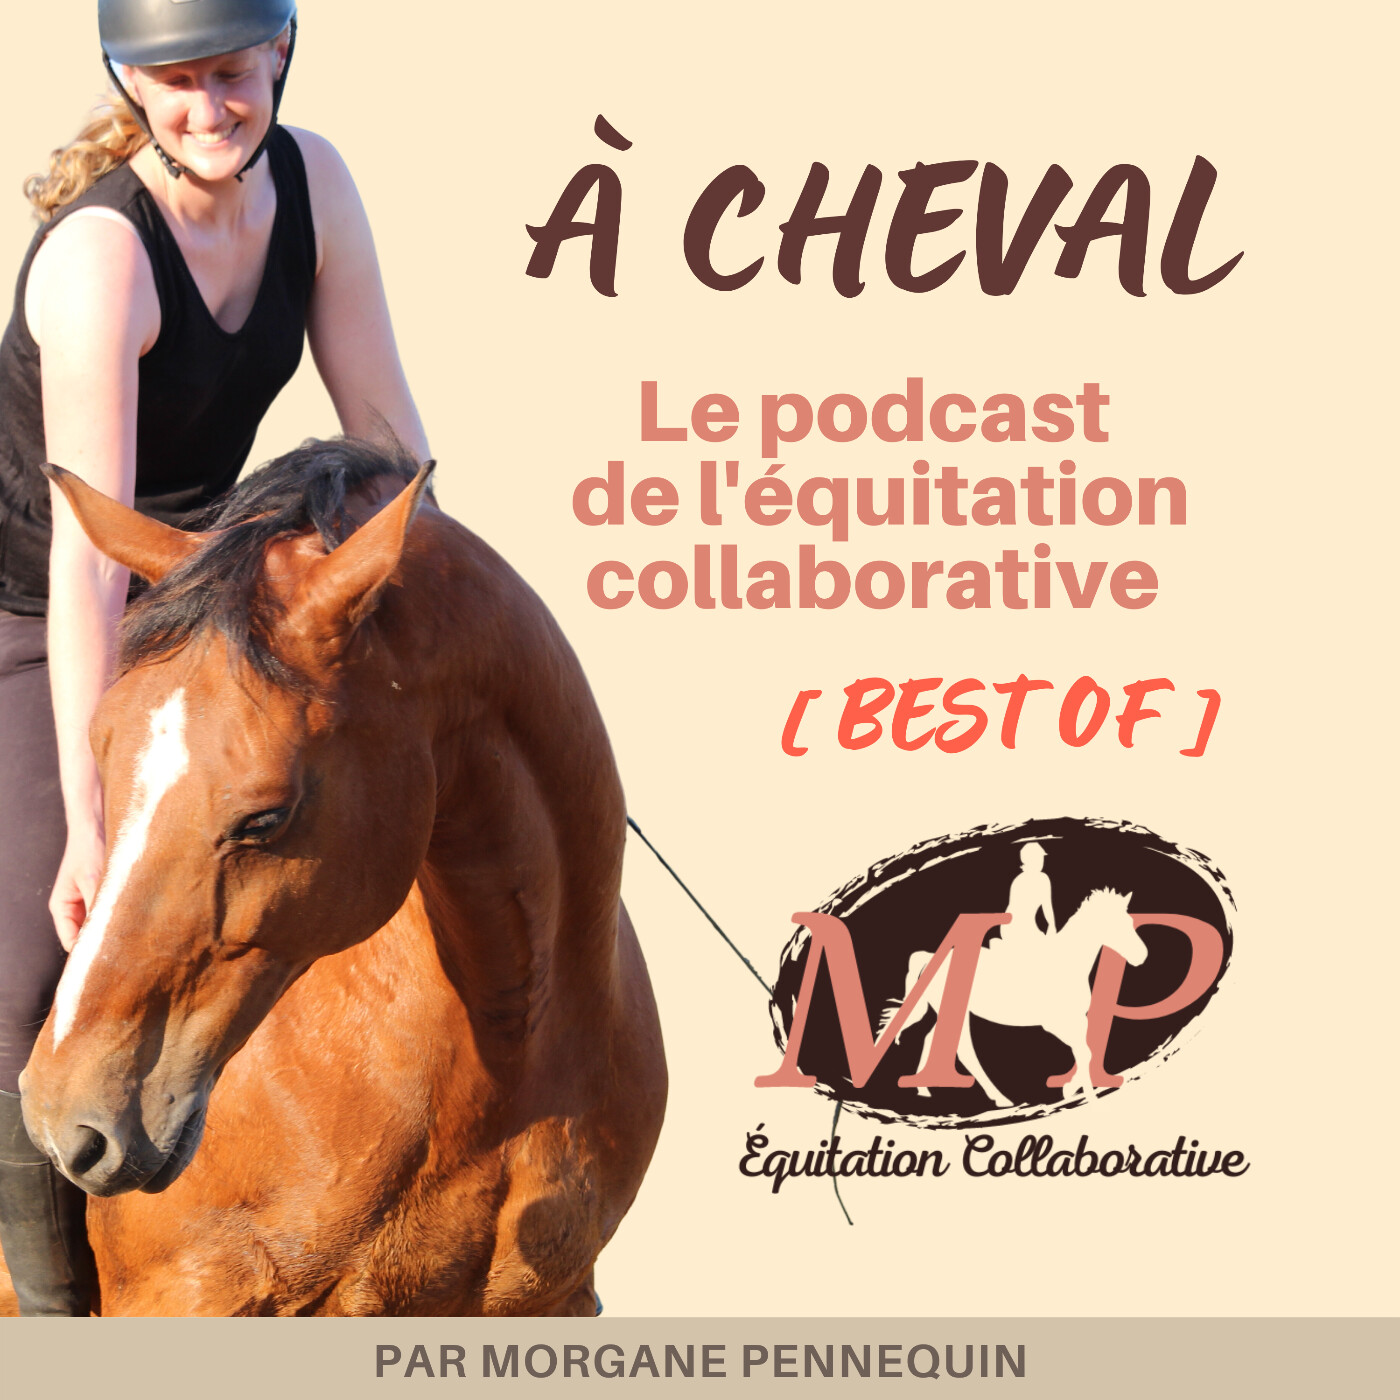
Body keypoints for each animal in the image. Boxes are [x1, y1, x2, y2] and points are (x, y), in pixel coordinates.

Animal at [880, 888, 1147, 1107]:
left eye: (1130, 921)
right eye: (1117, 924)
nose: (1142, 956)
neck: (1066, 962)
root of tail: (930, 958)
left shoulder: (1078, 1019)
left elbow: (1086, 1050)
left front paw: (1072, 1089)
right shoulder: (1055, 1024)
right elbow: (1084, 1052)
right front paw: (1083, 1094)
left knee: (932, 1040)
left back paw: (925, 1088)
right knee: (963, 1050)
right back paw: (1000, 1099)